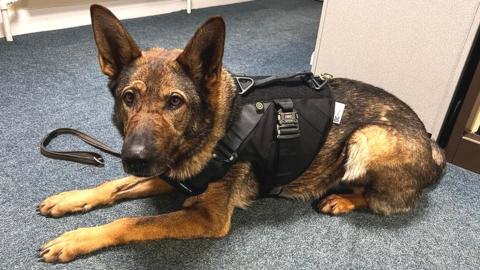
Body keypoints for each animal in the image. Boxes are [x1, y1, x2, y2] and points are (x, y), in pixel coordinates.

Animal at [36, 3, 446, 262]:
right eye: (129, 98)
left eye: (175, 102)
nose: (134, 159)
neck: (217, 130)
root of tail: (432, 144)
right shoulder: (173, 177)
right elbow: (112, 187)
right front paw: (71, 199)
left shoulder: (206, 216)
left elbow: (131, 220)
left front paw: (78, 238)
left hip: (368, 139)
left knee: (385, 200)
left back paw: (342, 199)